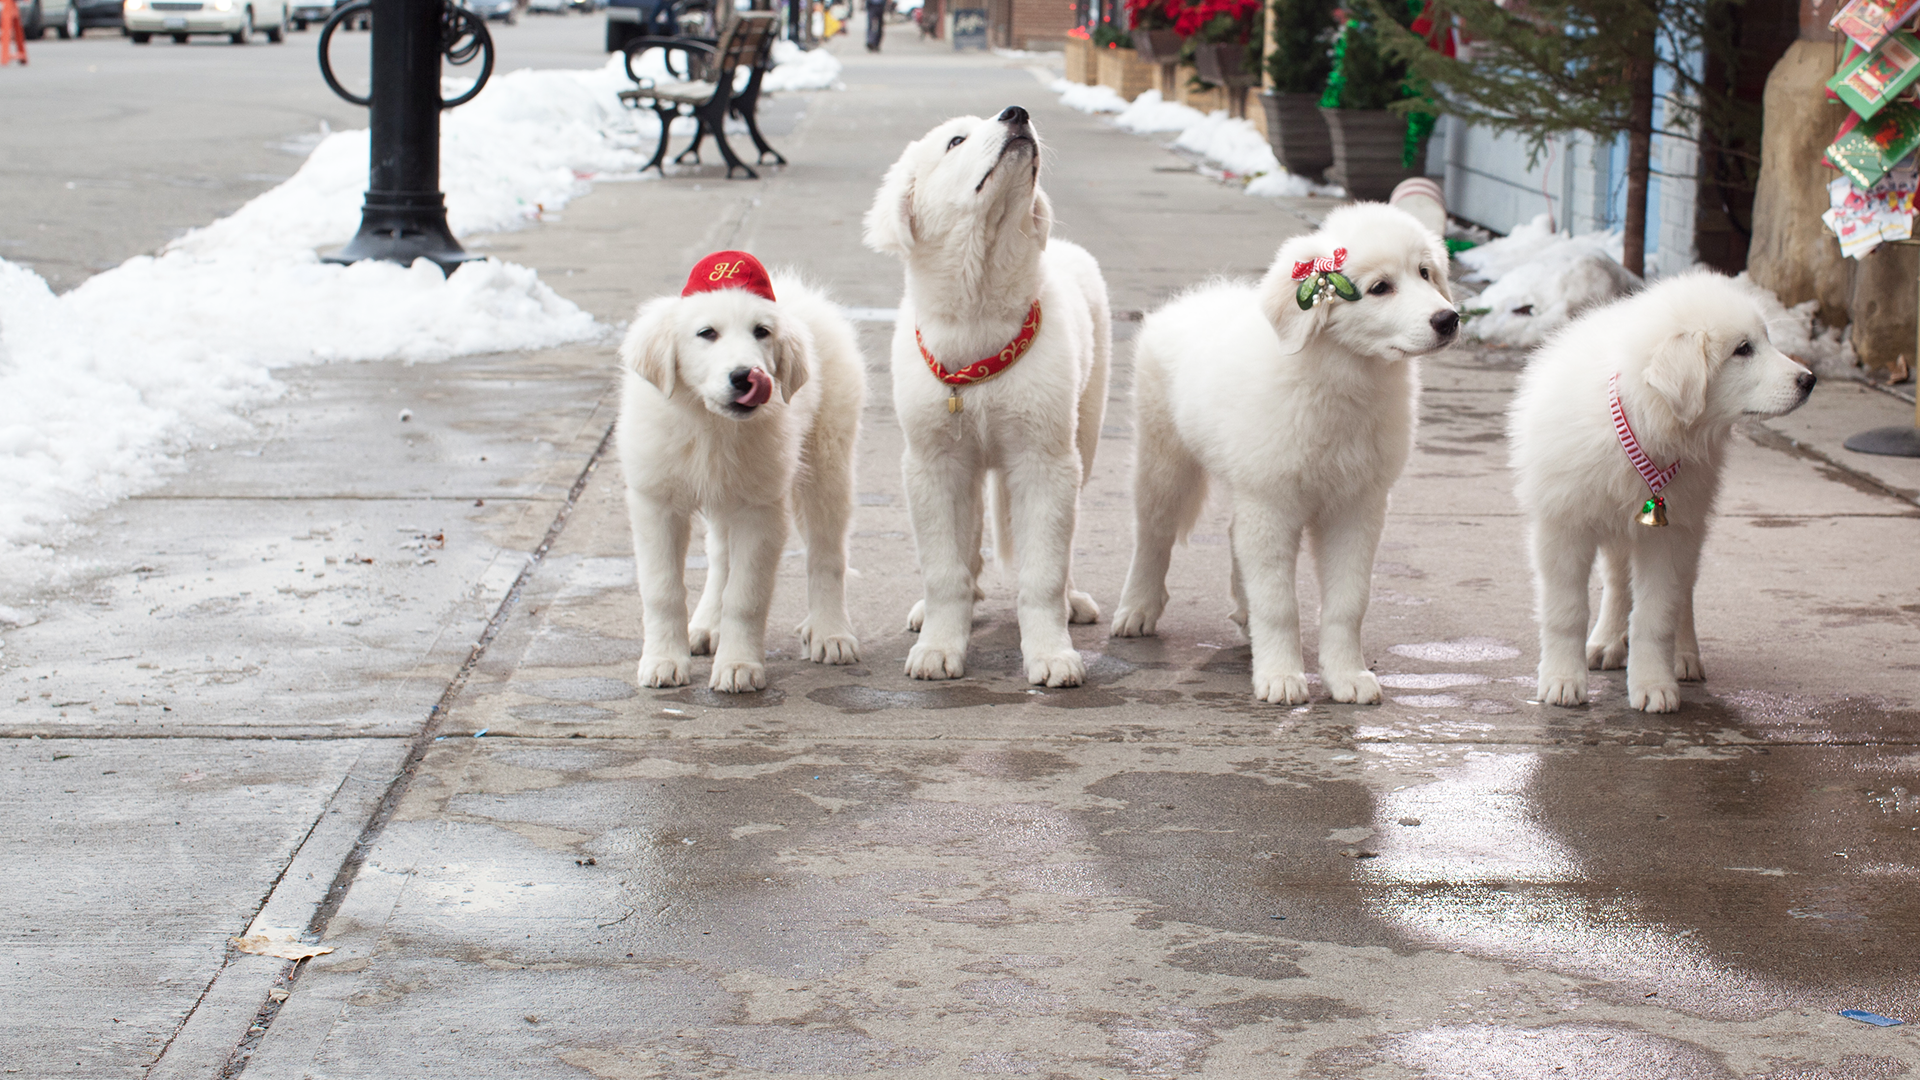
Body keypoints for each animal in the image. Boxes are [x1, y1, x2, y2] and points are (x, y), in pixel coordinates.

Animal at [614, 251, 864, 687]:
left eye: (761, 332)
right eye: (706, 333)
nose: (746, 376)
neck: (709, 425)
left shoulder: (760, 510)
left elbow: (746, 596)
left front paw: (738, 666)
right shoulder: (656, 503)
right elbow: (663, 591)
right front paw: (664, 660)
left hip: (826, 464)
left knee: (827, 554)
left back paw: (831, 632)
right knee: (720, 558)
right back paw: (706, 625)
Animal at [860, 105, 1113, 684]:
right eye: (956, 140)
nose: (1017, 113)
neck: (977, 316)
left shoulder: (1045, 459)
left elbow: (1043, 572)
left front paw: (1050, 654)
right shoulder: (934, 461)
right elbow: (943, 568)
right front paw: (939, 646)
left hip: (1083, 437)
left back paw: (1073, 602)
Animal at [1113, 202, 1451, 707]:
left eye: (1425, 273)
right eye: (1380, 288)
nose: (1449, 319)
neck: (1342, 383)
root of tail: (1197, 298)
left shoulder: (1357, 507)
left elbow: (1349, 602)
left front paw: (1346, 676)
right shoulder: (1271, 503)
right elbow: (1279, 604)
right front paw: (1280, 676)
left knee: (1233, 536)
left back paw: (1242, 613)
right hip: (1164, 459)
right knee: (1152, 535)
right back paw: (1137, 609)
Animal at [1512, 269, 1812, 711]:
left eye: (1765, 339)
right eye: (1743, 350)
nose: (1810, 380)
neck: (1644, 426)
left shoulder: (1669, 536)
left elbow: (1657, 616)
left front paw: (1654, 684)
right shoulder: (1563, 526)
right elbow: (1566, 611)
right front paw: (1563, 681)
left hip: (1690, 521)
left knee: (1682, 593)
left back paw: (1684, 656)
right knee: (1618, 583)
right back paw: (1605, 643)